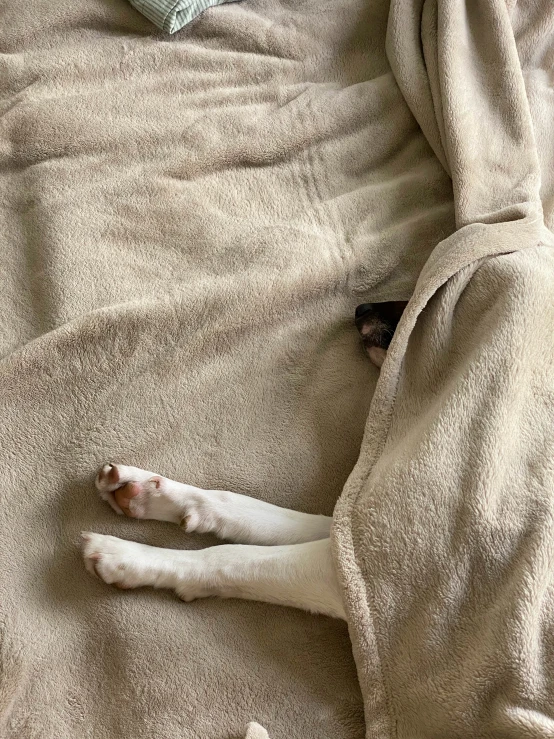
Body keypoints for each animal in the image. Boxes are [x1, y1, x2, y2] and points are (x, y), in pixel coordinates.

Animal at [80, 300, 404, 620]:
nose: (361, 308)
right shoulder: (355, 539)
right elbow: (254, 512)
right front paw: (148, 491)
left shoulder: (357, 571)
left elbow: (230, 556)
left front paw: (130, 557)